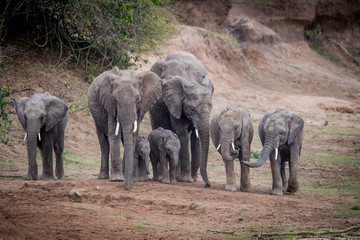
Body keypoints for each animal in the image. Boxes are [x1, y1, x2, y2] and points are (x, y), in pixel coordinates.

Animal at [150, 54, 214, 188]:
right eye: (191, 109)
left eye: (211, 107)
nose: (208, 184)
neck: (191, 81)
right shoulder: (175, 104)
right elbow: (182, 134)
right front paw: (186, 180)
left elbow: (196, 138)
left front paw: (193, 179)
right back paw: (163, 177)